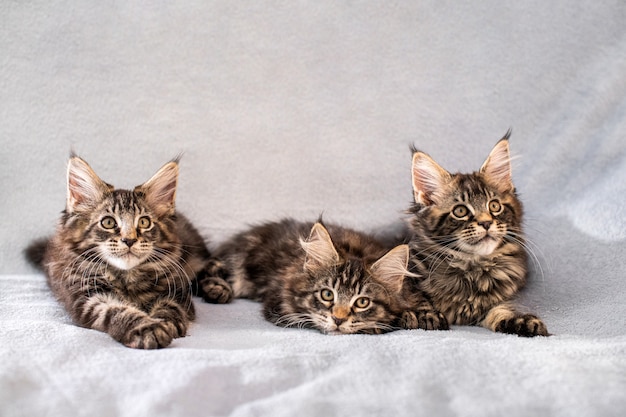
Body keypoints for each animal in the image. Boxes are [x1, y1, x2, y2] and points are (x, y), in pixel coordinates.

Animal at [25, 155, 211, 348]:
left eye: (144, 222)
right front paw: (148, 328)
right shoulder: (88, 297)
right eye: (108, 222)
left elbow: (169, 307)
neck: (126, 276)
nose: (129, 240)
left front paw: (166, 323)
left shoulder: (177, 292)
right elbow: (117, 312)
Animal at [195, 219, 444, 334]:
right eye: (327, 295)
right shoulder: (280, 304)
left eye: (362, 302)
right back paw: (217, 288)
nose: (339, 319)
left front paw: (421, 315)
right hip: (238, 261)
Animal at [404, 132, 544, 336]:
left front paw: (522, 321)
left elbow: (501, 310)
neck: (471, 266)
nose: (486, 223)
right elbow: (410, 295)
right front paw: (424, 314)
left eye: (494, 206)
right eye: (460, 211)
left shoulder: (493, 301)